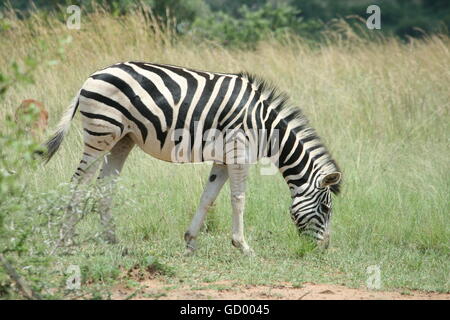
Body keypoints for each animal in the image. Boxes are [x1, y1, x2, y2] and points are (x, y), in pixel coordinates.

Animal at [43, 61, 342, 254]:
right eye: (326, 208)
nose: (323, 249)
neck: (265, 126)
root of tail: (92, 75)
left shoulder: (223, 159)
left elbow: (208, 197)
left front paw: (190, 241)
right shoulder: (238, 152)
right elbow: (238, 199)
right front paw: (243, 246)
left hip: (122, 139)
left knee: (104, 185)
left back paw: (112, 240)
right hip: (101, 133)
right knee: (79, 181)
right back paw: (64, 240)